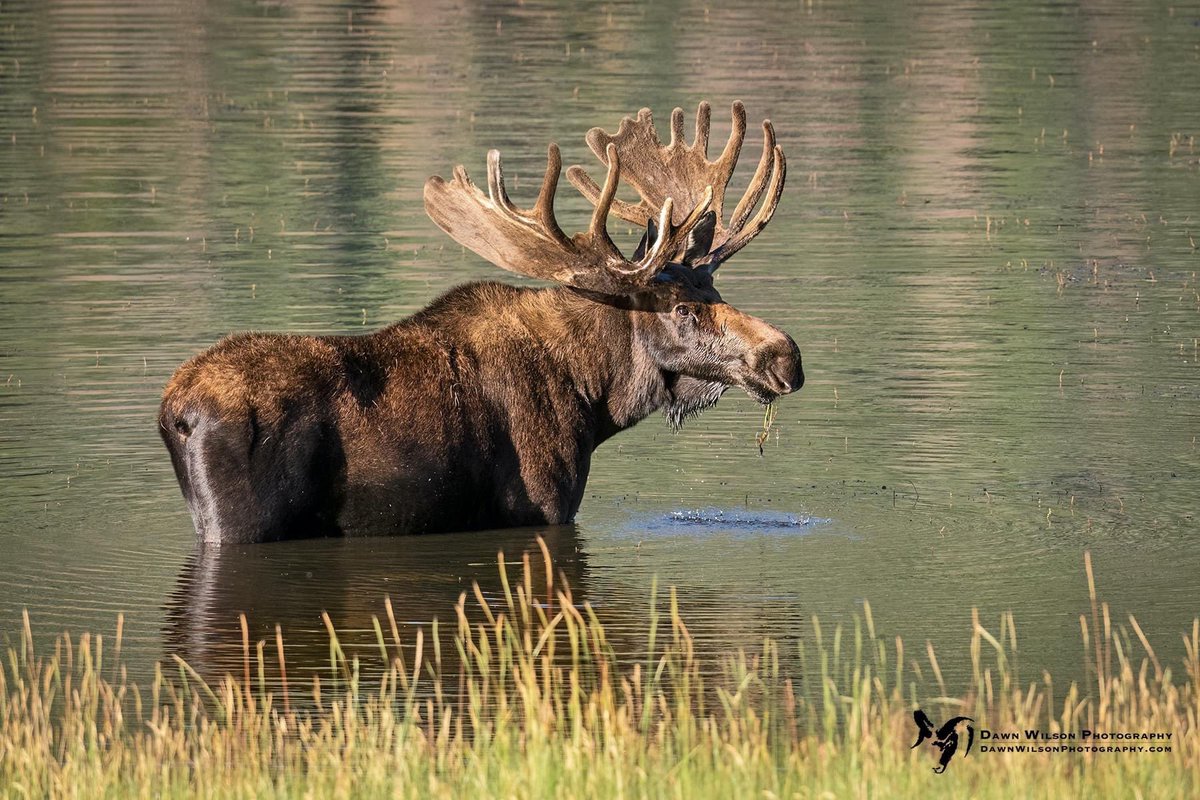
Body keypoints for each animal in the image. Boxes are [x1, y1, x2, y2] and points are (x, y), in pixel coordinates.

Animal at [159, 102, 804, 543]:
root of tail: (175, 412)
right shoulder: (544, 505)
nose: (786, 356)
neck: (596, 398)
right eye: (682, 309)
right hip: (239, 524)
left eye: (714, 288)